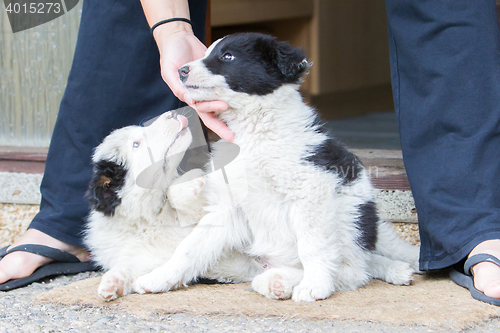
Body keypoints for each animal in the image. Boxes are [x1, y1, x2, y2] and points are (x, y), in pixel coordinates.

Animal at [134, 33, 422, 300]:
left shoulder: (311, 189)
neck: (253, 130)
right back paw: (279, 281)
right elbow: (190, 248)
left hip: (354, 213)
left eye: (228, 56)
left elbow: (313, 245)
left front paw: (315, 286)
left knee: (354, 269)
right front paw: (158, 278)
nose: (181, 70)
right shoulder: (227, 205)